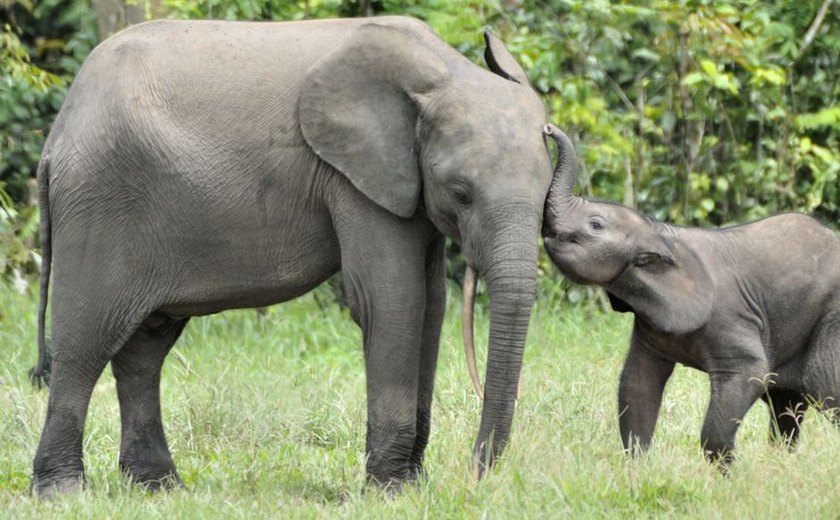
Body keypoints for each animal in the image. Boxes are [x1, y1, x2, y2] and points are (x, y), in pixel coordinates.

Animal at [29, 16, 556, 496]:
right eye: (462, 193)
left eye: (548, 190)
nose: (474, 475)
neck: (443, 71)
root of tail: (56, 137)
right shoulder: (354, 177)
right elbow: (391, 301)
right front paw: (389, 490)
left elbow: (430, 306)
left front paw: (412, 485)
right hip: (99, 201)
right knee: (85, 343)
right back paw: (63, 491)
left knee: (144, 350)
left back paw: (159, 487)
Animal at [540, 125, 840, 468]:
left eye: (596, 224)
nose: (548, 129)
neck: (662, 233)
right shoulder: (651, 323)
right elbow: (638, 383)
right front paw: (637, 469)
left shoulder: (729, 318)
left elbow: (749, 373)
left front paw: (727, 472)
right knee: (785, 402)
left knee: (823, 384)